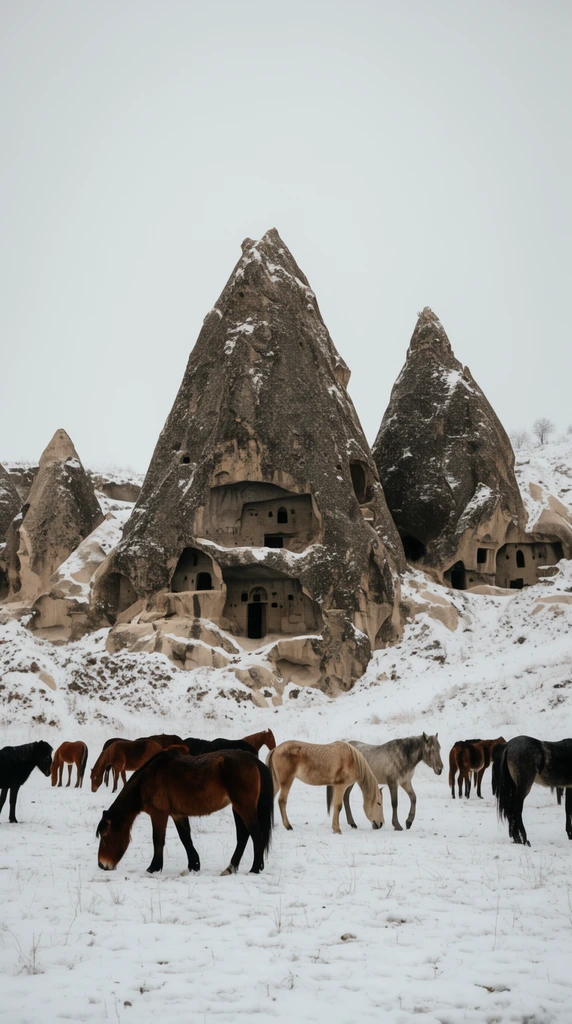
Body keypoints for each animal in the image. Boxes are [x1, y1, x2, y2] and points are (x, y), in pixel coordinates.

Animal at [96, 748, 274, 875]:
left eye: (104, 835)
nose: (102, 865)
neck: (149, 778)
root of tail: (252, 759)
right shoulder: (177, 814)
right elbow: (185, 838)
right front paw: (194, 865)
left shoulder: (159, 814)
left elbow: (158, 839)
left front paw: (153, 868)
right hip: (237, 808)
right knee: (243, 837)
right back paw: (231, 868)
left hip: (243, 807)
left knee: (256, 835)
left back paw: (254, 869)